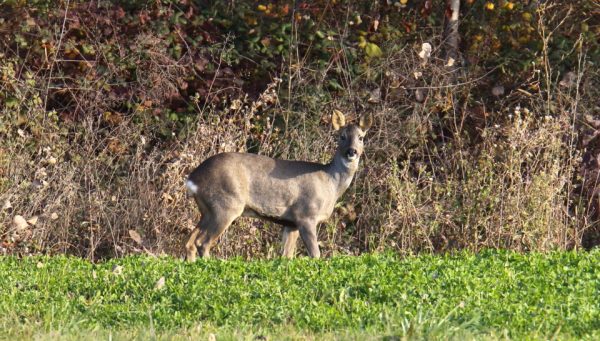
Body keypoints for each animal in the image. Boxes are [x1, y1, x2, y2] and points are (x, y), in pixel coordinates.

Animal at [184, 110, 370, 258]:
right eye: (342, 136)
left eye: (361, 138)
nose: (351, 151)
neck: (331, 183)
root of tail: (193, 178)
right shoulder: (306, 215)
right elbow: (315, 254)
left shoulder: (291, 223)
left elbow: (286, 256)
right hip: (226, 205)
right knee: (202, 242)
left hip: (207, 210)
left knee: (190, 242)